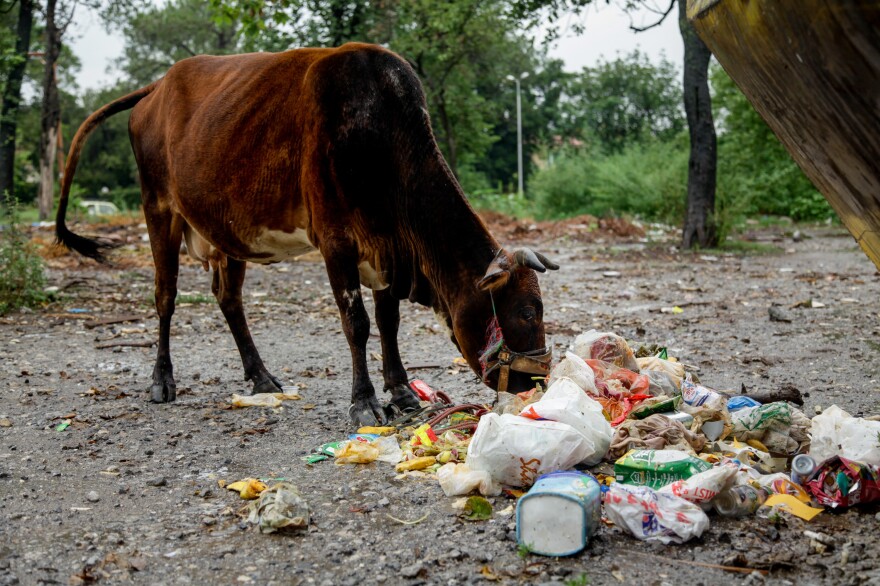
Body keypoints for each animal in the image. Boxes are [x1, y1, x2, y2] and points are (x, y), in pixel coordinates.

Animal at [56, 42, 556, 424]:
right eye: (527, 312)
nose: (537, 381)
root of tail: (158, 87)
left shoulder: (386, 250)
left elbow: (388, 323)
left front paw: (401, 392)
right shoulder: (337, 242)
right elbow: (357, 324)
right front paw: (365, 402)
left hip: (226, 232)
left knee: (229, 299)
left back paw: (260, 376)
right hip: (158, 208)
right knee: (165, 296)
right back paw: (162, 380)